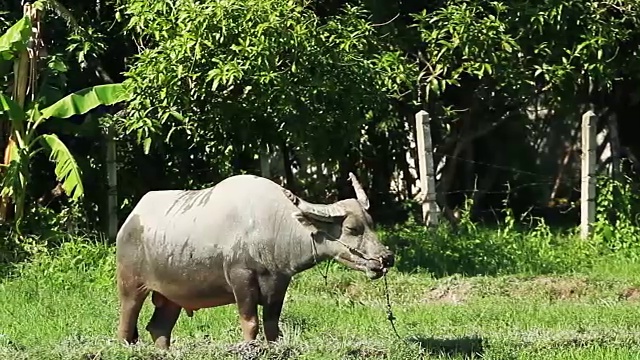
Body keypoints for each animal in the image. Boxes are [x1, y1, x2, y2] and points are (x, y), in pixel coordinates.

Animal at [116, 173, 396, 348]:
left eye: (371, 224)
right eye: (351, 229)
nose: (386, 258)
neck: (272, 225)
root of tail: (129, 221)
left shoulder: (278, 283)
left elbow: (272, 327)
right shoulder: (241, 281)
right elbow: (250, 324)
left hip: (171, 296)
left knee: (159, 329)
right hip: (130, 287)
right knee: (126, 327)